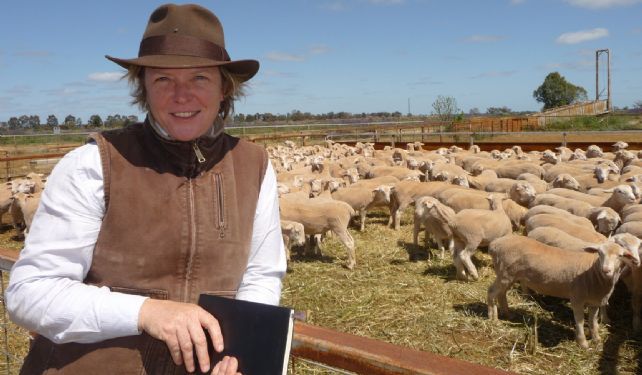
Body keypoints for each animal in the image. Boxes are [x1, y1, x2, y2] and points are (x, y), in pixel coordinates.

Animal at [488, 235, 636, 350]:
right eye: (599, 253)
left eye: (620, 256)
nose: (606, 270)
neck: (593, 274)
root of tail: (495, 244)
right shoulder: (577, 298)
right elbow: (580, 321)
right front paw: (582, 343)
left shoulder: (594, 302)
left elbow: (593, 321)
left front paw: (597, 339)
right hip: (505, 274)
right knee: (491, 292)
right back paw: (493, 319)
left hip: (509, 276)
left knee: (501, 293)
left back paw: (507, 314)